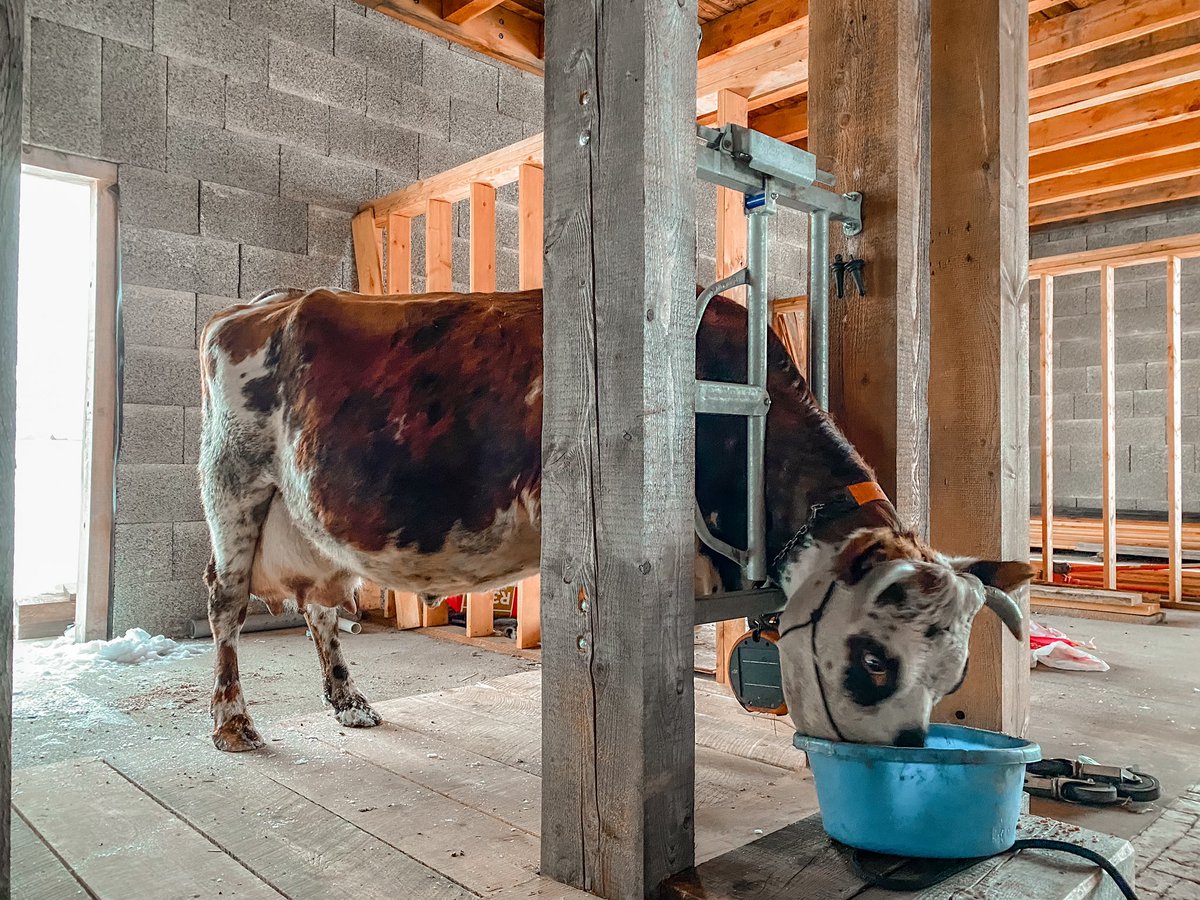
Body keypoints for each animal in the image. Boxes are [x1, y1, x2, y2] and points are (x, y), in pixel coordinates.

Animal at [198, 286, 1031, 752]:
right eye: (874, 661)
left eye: (953, 672)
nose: (903, 755)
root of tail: (258, 304)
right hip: (232, 481)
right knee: (225, 600)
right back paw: (234, 724)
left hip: (310, 522)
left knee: (320, 609)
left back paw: (349, 703)